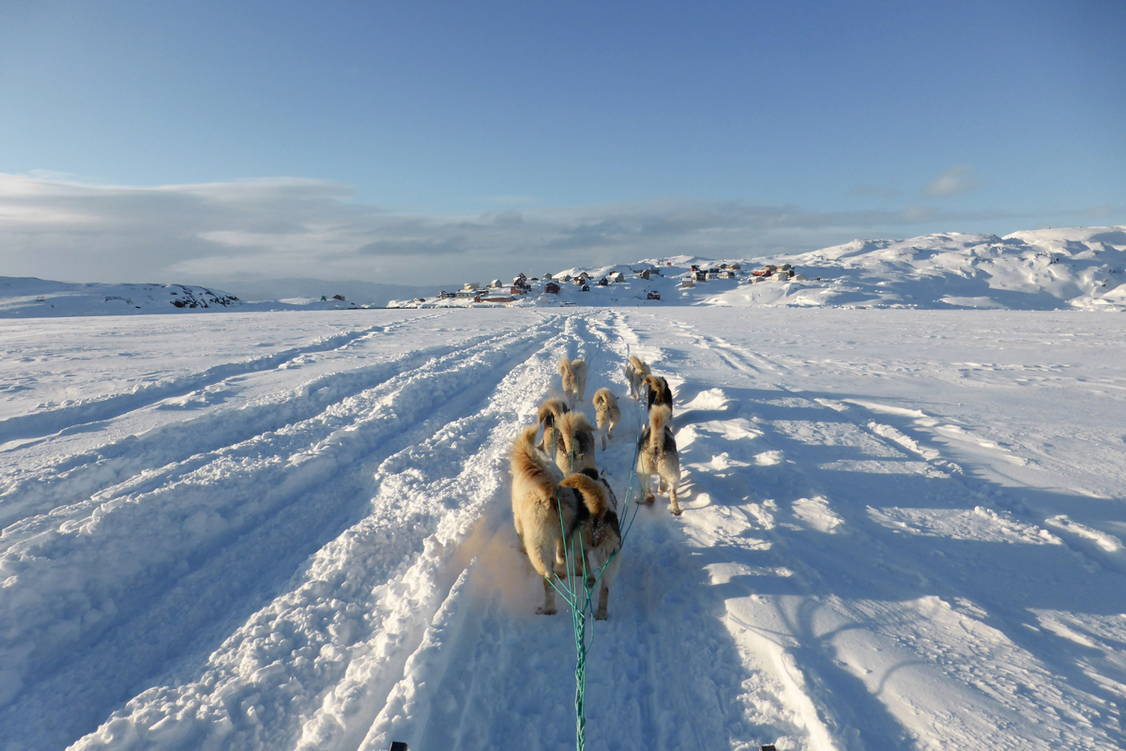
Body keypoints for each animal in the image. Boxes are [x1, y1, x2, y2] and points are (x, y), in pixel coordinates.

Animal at [515, 425, 576, 612]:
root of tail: (551, 494)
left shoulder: (517, 519)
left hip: (538, 547)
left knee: (549, 578)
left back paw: (547, 609)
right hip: (565, 535)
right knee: (561, 558)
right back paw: (562, 573)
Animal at [558, 470, 621, 621]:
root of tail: (598, 515)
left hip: (578, 546)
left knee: (585, 566)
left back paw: (589, 580)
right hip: (609, 558)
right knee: (605, 588)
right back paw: (601, 614)